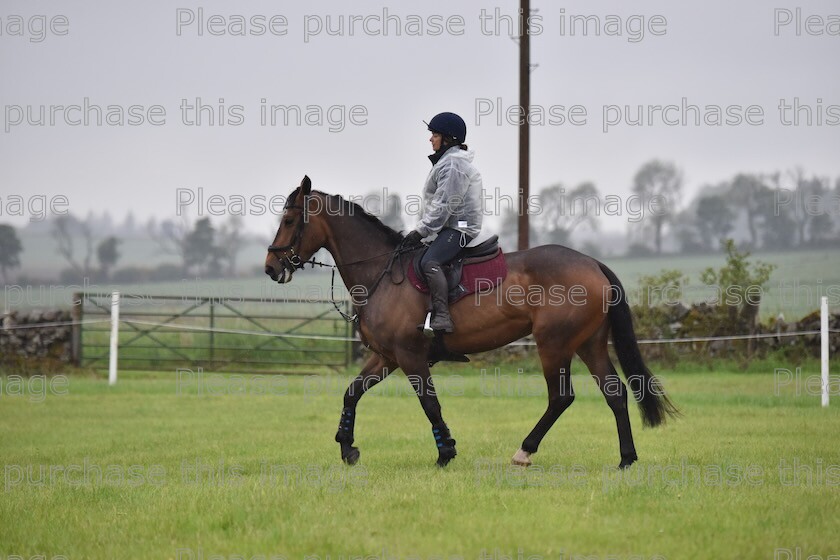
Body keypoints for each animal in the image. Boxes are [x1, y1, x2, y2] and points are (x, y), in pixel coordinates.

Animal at [266, 177, 680, 470]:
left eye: (289, 220)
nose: (270, 268)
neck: (382, 272)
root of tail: (593, 263)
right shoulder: (387, 356)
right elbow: (351, 393)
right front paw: (347, 446)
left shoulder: (410, 357)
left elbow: (430, 405)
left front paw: (445, 452)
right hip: (588, 343)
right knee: (615, 393)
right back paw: (626, 458)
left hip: (554, 345)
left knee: (561, 397)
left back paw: (524, 452)